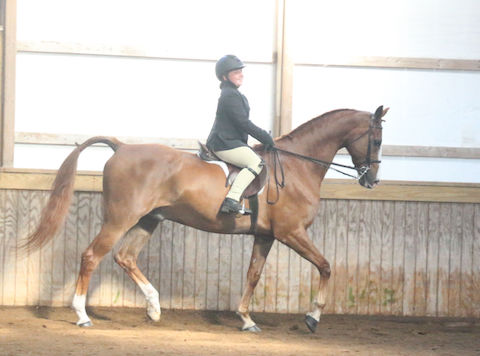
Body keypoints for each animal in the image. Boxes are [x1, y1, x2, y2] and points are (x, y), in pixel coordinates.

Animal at [24, 104, 388, 332]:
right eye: (377, 139)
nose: (372, 181)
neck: (297, 166)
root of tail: (122, 147)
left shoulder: (266, 236)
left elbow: (253, 275)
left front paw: (246, 319)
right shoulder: (291, 232)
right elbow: (326, 266)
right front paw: (312, 318)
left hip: (148, 220)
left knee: (125, 257)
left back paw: (154, 308)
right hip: (120, 219)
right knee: (91, 256)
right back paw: (82, 315)